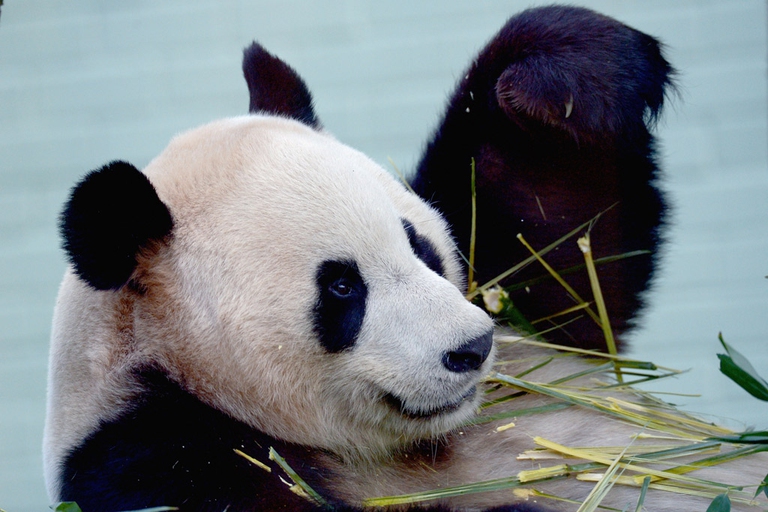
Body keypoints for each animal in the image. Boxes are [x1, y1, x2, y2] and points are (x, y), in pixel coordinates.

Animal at [44, 6, 768, 512]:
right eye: (341, 289)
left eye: (420, 246)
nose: (472, 348)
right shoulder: (155, 458)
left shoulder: (514, 306)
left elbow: (558, 254)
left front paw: (557, 78)